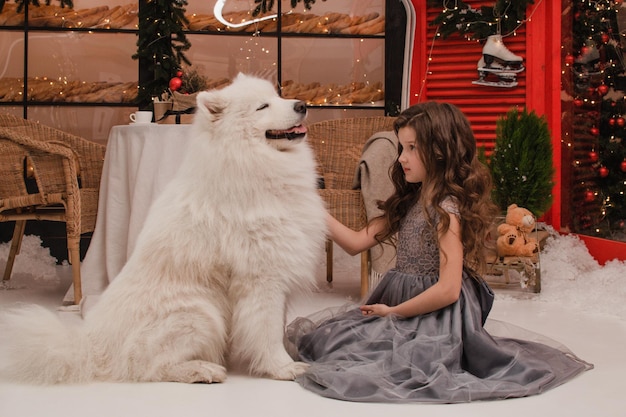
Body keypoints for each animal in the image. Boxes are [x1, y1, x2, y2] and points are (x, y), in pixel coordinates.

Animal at [1, 73, 326, 382]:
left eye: (277, 96)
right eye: (262, 106)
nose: (301, 106)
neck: (248, 162)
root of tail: (93, 347)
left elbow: (278, 326)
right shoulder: (262, 279)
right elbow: (267, 331)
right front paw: (283, 367)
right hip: (201, 312)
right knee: (146, 366)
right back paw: (202, 370)